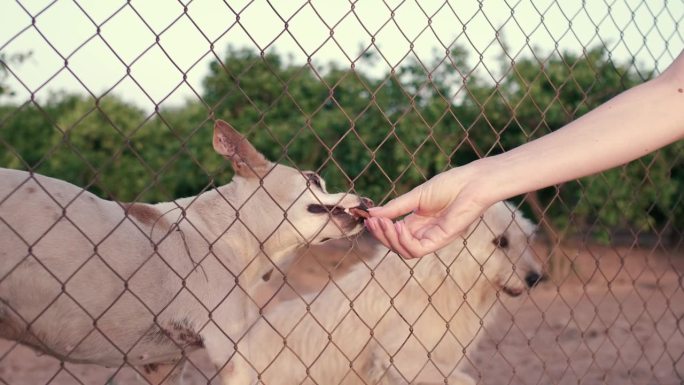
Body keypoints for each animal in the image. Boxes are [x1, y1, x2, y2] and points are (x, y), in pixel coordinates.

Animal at [232, 201, 544, 384]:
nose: (536, 279)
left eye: (525, 239)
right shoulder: (397, 357)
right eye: (501, 241)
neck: (448, 279)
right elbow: (466, 380)